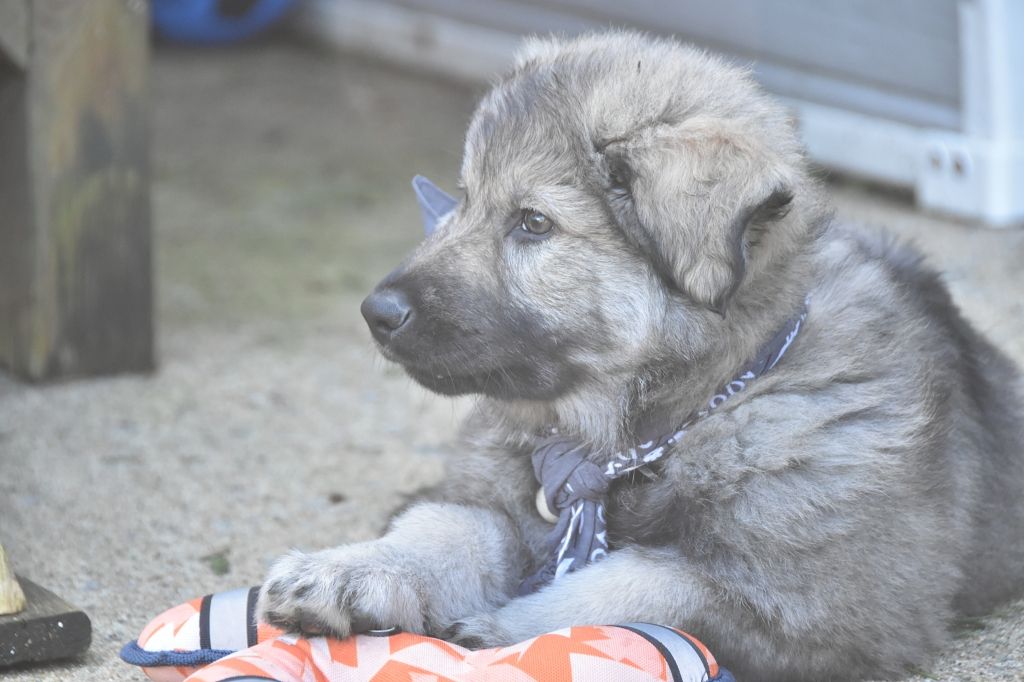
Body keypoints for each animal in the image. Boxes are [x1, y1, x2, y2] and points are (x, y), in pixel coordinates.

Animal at [258, 32, 1024, 681]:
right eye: (465, 201)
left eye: (532, 223)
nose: (377, 313)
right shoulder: (514, 505)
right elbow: (452, 524)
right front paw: (351, 570)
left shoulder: (827, 606)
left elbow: (651, 579)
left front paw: (501, 629)